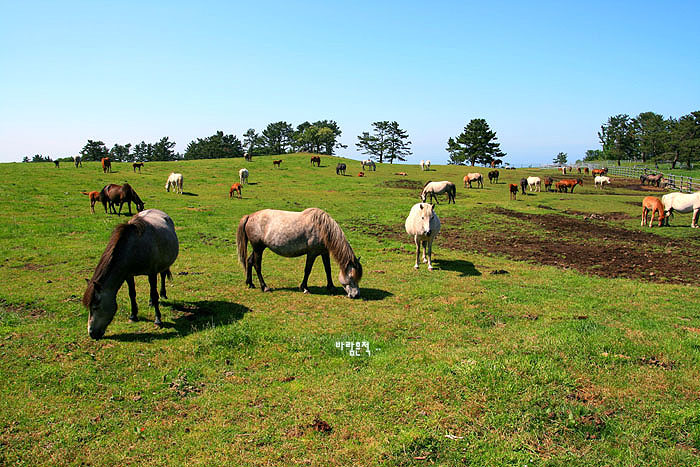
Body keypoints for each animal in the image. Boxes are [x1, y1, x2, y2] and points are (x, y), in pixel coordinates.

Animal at [83, 209, 179, 340]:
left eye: (95, 307)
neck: (133, 248)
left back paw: (163, 294)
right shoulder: (128, 275)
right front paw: (133, 316)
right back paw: (150, 302)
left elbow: (155, 294)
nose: (92, 333)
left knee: (162, 276)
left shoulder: (152, 273)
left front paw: (158, 319)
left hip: (163, 265)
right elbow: (132, 294)